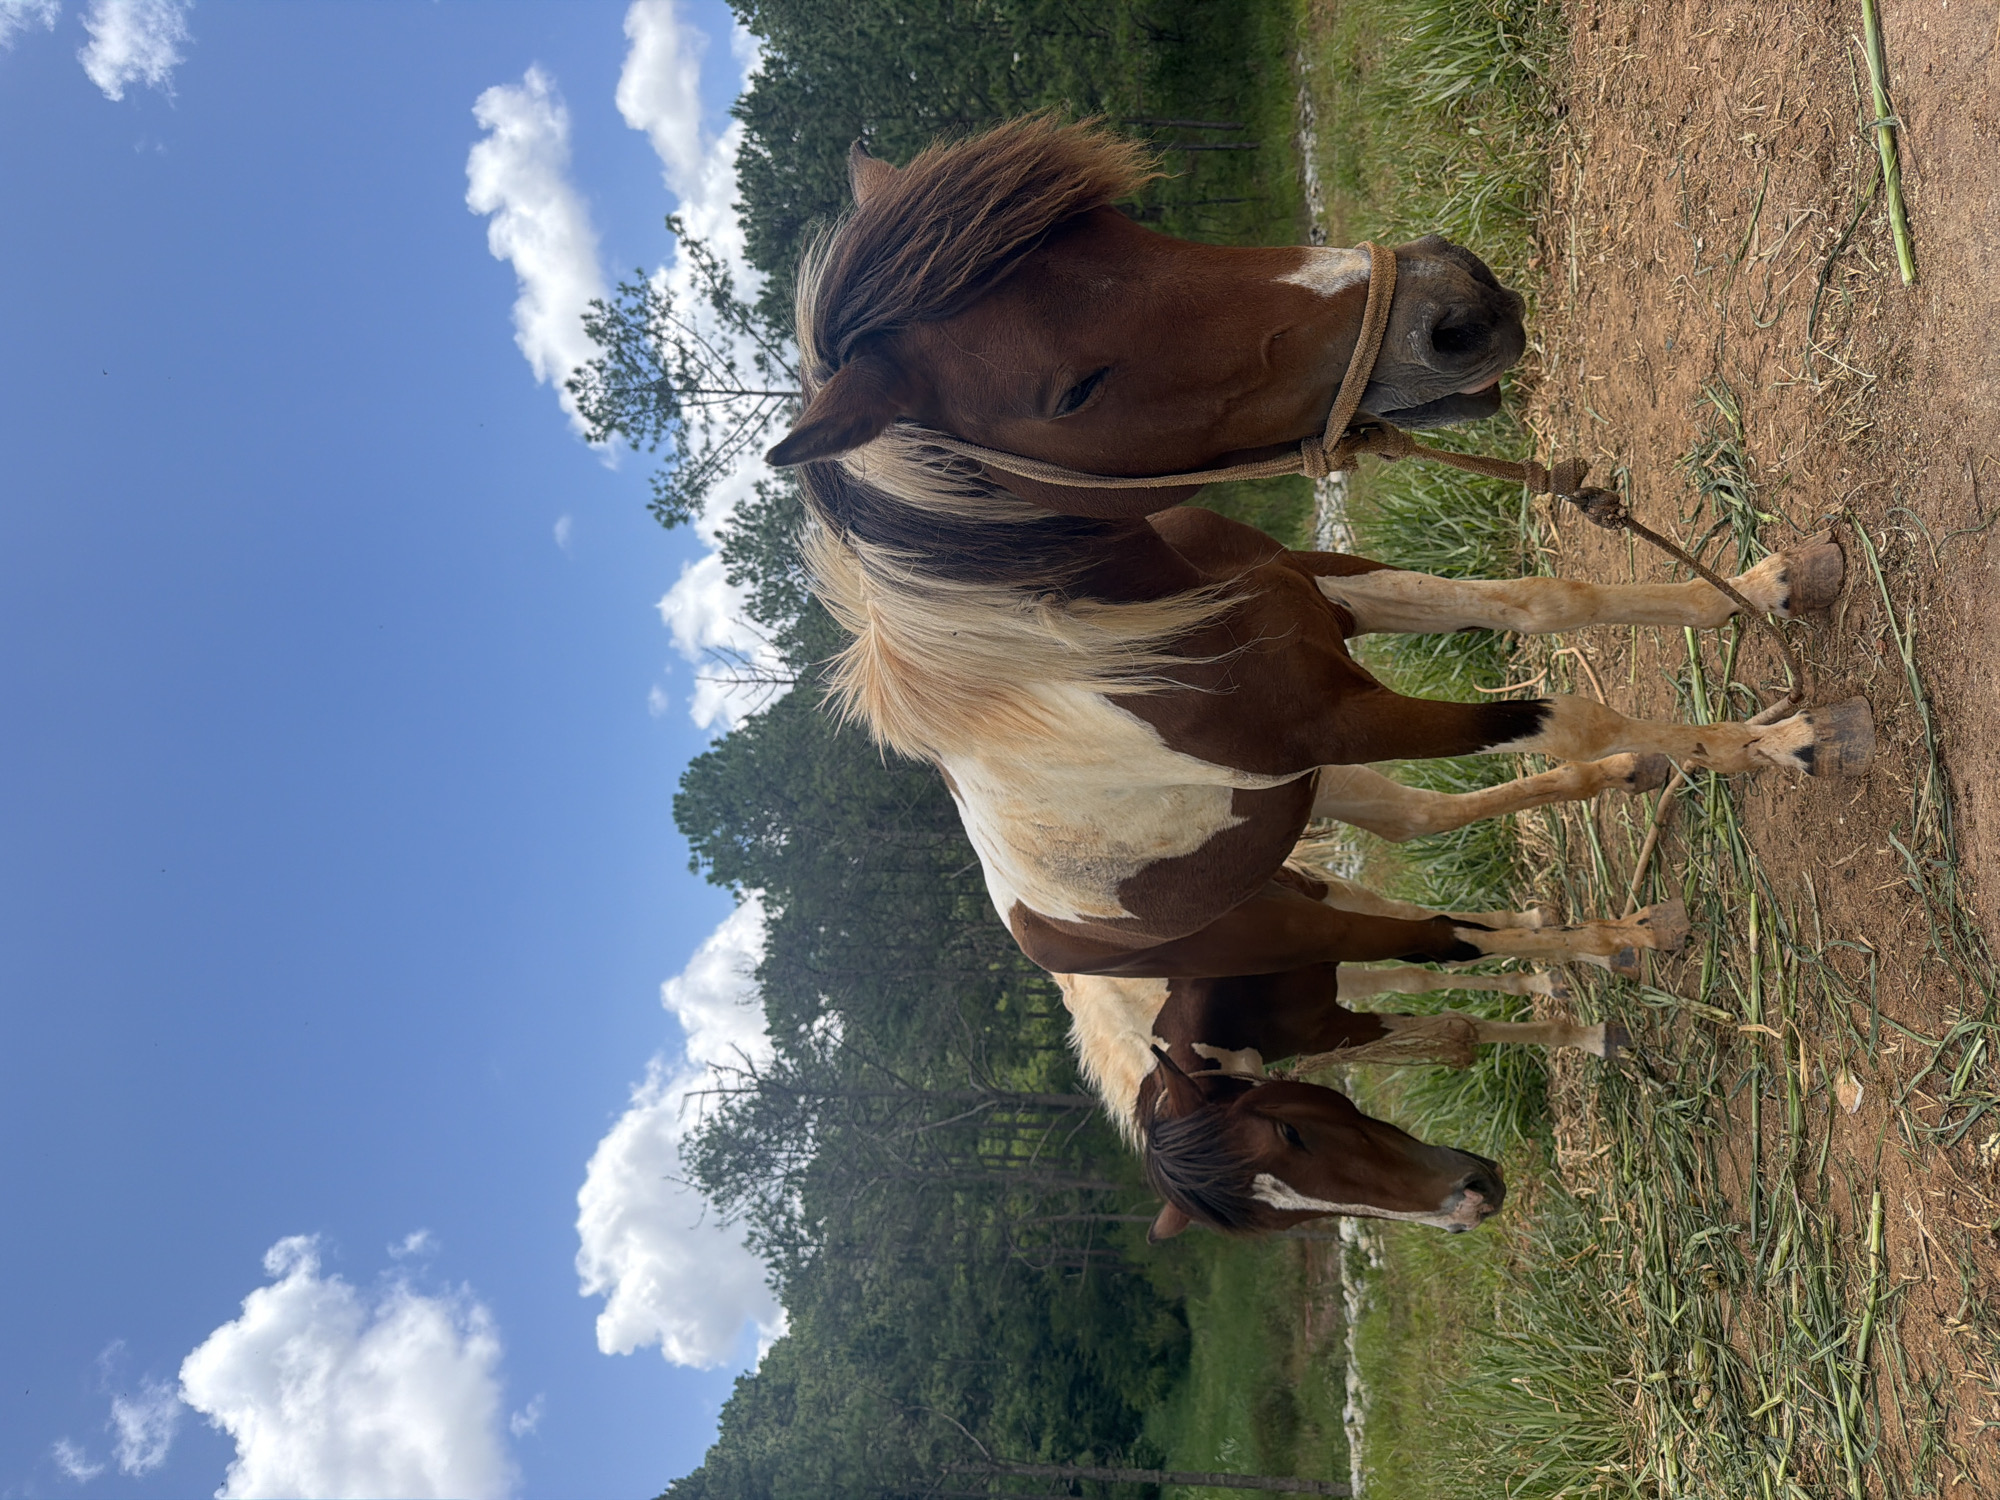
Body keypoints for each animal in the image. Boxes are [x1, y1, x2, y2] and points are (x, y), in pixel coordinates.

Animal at [762, 114, 1867, 988]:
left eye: (1125, 224)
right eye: (1072, 390)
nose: (1457, 305)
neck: (1127, 635)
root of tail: (1045, 934)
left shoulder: (1331, 594)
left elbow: (1546, 600)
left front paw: (1765, 587)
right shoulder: (1345, 718)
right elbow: (1562, 716)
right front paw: (1779, 742)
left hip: (1308, 805)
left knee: (1416, 826)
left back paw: (1627, 798)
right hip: (1302, 912)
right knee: (1444, 939)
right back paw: (1617, 937)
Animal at [1057, 852, 1676, 1242]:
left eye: (1291, 1132)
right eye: (1281, 1224)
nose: (1472, 1203)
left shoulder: (1339, 928)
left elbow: (1451, 941)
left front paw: (1619, 946)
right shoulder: (1325, 1025)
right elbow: (1456, 1019)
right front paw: (1583, 1026)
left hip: (1330, 902)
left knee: (1426, 930)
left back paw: (1548, 928)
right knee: (1414, 978)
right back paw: (1541, 976)